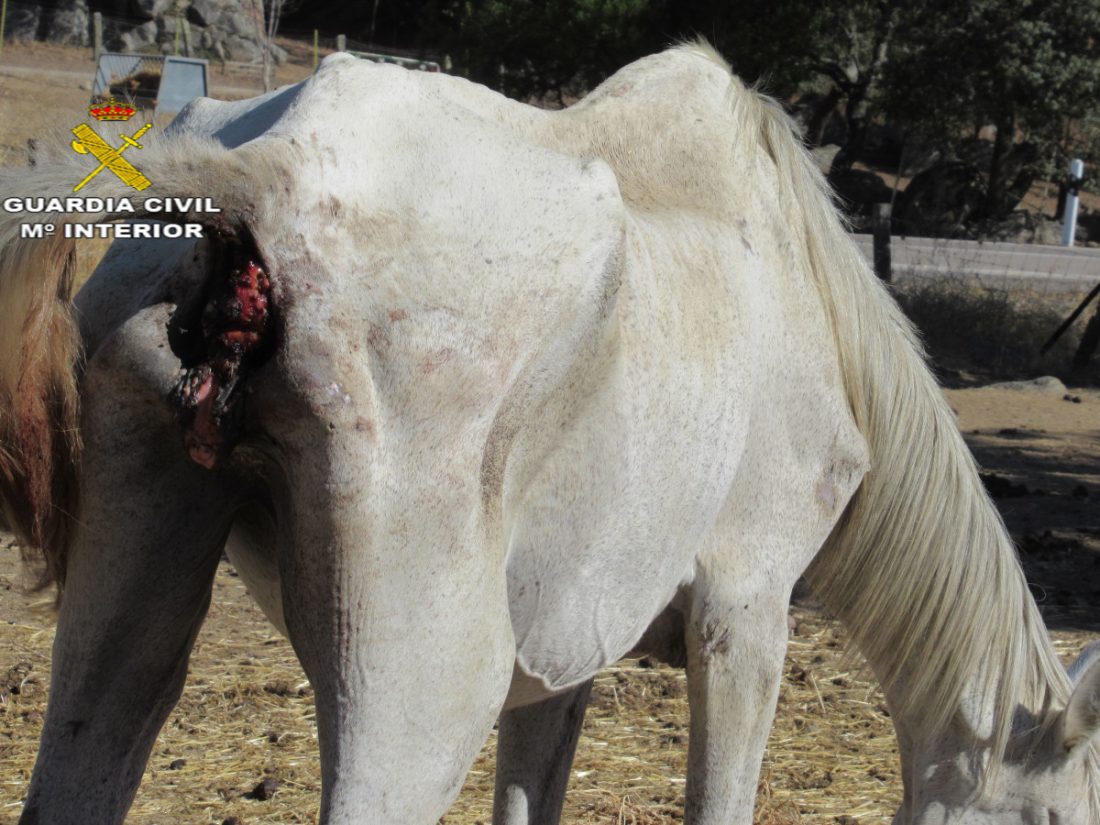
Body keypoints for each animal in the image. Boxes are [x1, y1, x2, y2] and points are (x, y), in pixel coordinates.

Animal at [2, 43, 1100, 825]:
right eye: (1051, 819)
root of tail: (254, 185)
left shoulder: (564, 649)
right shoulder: (745, 612)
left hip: (127, 607)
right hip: (424, 693)